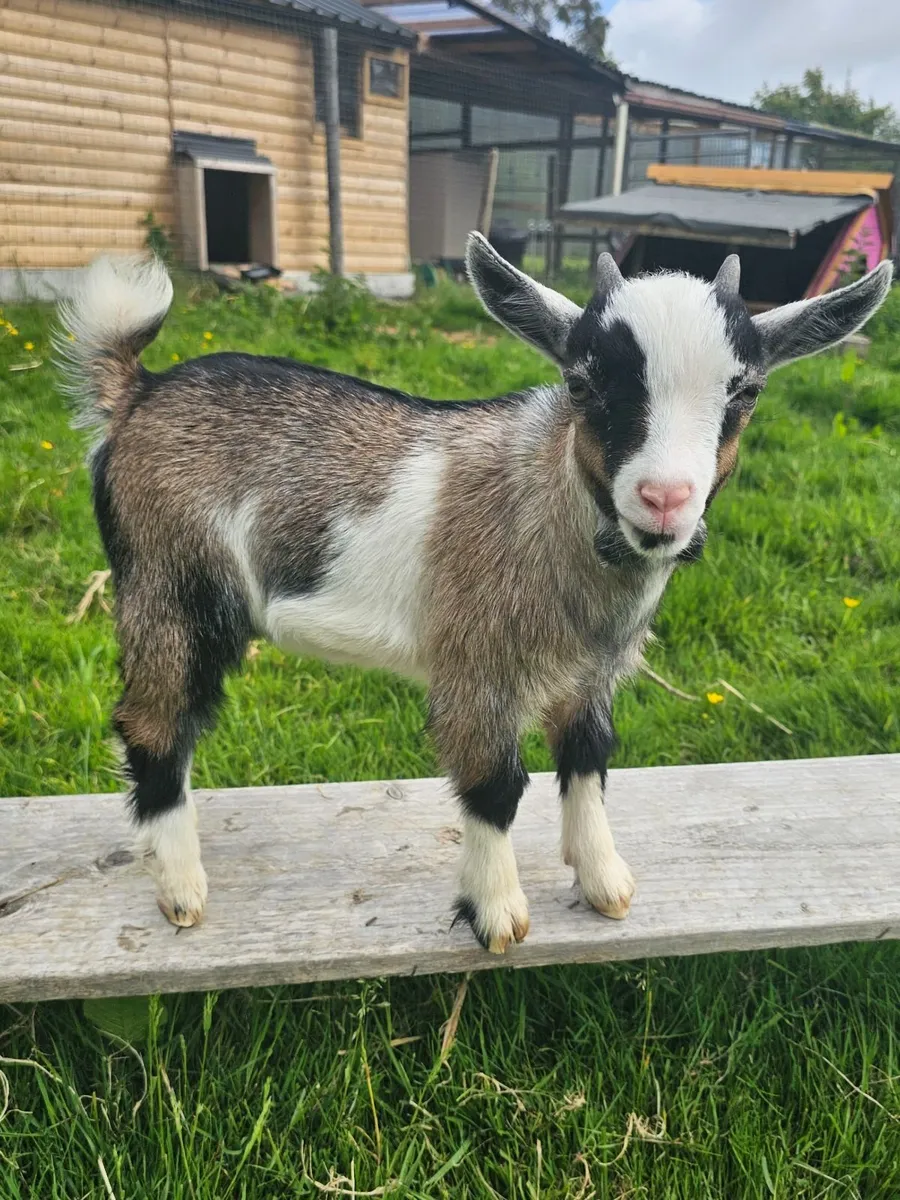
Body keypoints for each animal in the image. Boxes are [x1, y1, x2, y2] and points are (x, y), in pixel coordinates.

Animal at [57, 239, 892, 952]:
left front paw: (604, 882)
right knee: (154, 723)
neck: (546, 508)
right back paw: (181, 891)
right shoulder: (476, 667)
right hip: (170, 586)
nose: (664, 501)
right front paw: (496, 914)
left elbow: (588, 759)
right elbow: (495, 786)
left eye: (744, 391)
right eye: (582, 382)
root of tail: (135, 393)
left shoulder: (591, 673)